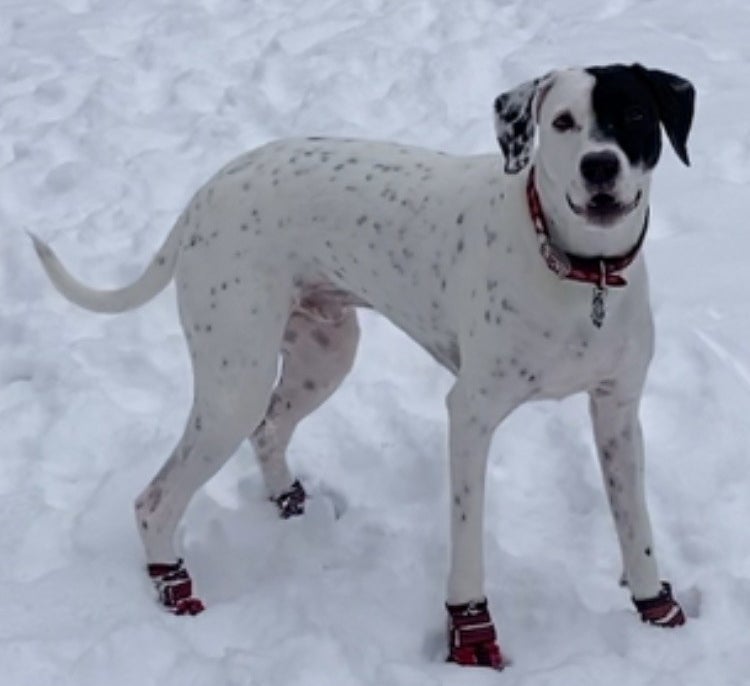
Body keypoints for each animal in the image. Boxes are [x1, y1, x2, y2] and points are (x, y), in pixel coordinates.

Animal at [32, 64, 696, 672]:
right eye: (562, 122)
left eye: (635, 115)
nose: (599, 166)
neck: (582, 271)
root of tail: (205, 193)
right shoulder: (470, 414)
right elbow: (467, 542)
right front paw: (472, 638)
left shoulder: (617, 412)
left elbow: (636, 528)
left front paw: (656, 611)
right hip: (235, 382)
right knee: (155, 498)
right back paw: (174, 588)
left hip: (324, 353)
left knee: (269, 429)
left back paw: (289, 501)